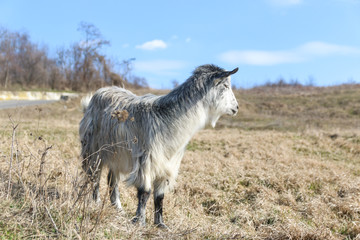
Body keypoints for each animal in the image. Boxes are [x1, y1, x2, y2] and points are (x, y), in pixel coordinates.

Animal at [80, 63, 240, 227]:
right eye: (226, 85)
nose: (236, 108)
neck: (167, 119)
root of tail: (95, 96)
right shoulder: (146, 161)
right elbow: (145, 192)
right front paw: (140, 221)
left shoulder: (168, 164)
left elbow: (160, 196)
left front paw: (160, 224)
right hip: (93, 149)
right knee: (94, 176)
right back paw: (95, 202)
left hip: (117, 156)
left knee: (112, 179)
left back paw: (118, 208)